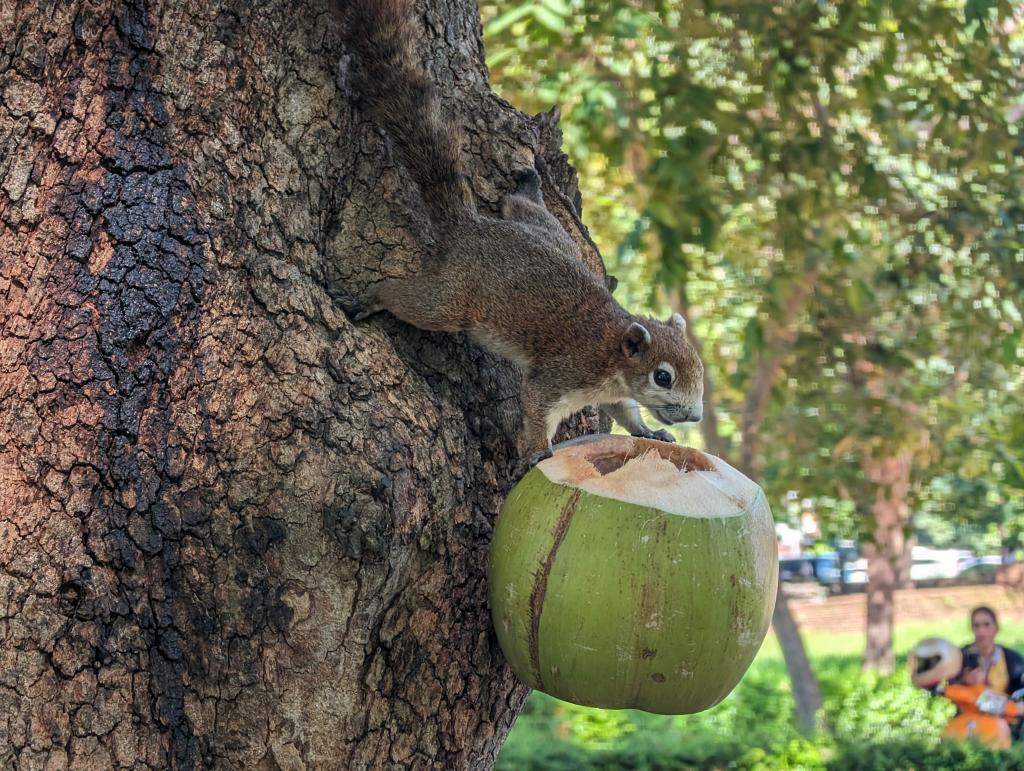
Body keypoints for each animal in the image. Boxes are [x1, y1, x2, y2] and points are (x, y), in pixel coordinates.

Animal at [344, 0, 704, 468]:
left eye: (699, 366)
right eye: (663, 376)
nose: (695, 416)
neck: (612, 349)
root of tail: (469, 227)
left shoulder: (611, 392)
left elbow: (625, 412)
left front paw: (649, 431)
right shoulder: (564, 373)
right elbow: (534, 405)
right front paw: (536, 452)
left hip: (548, 234)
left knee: (526, 209)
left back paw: (527, 187)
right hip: (450, 299)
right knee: (410, 299)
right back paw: (372, 298)